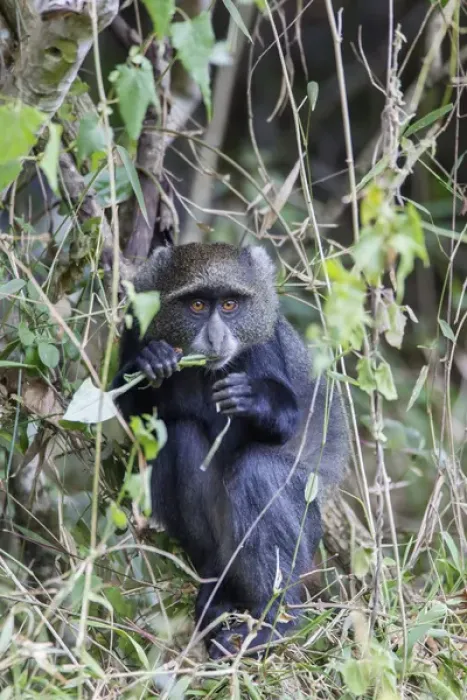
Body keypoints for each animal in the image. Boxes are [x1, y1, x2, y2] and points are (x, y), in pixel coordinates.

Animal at [112, 242, 348, 659]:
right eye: (197, 305)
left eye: (229, 306)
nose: (217, 337)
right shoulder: (134, 326)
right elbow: (127, 411)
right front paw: (152, 361)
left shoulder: (265, 345)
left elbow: (287, 421)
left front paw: (253, 400)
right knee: (179, 434)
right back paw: (217, 585)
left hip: (308, 532)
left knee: (259, 469)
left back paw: (276, 620)